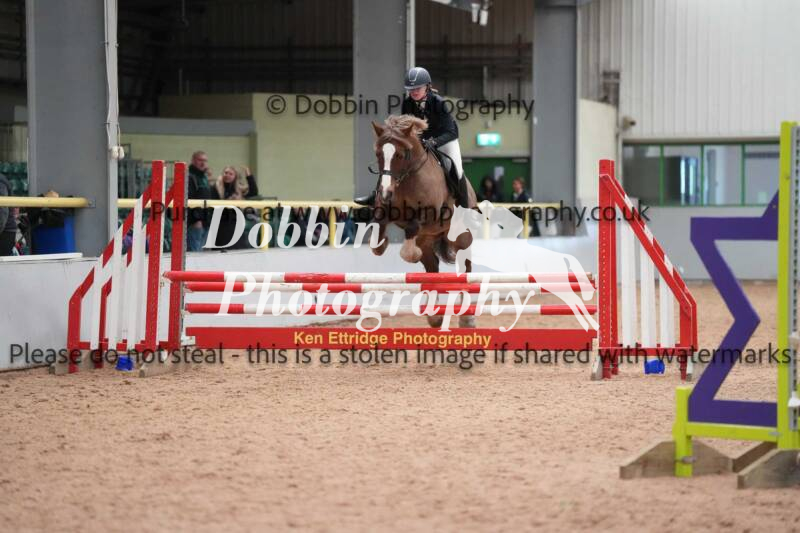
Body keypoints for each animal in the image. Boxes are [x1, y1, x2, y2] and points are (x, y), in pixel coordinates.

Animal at [368, 114, 477, 328]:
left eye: (400, 155)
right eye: (378, 154)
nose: (385, 192)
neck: (407, 178)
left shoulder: (428, 214)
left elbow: (410, 239)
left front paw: (411, 254)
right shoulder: (387, 211)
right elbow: (377, 233)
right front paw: (382, 244)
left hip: (461, 236)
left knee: (465, 266)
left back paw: (467, 318)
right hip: (427, 238)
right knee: (432, 266)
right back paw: (434, 316)